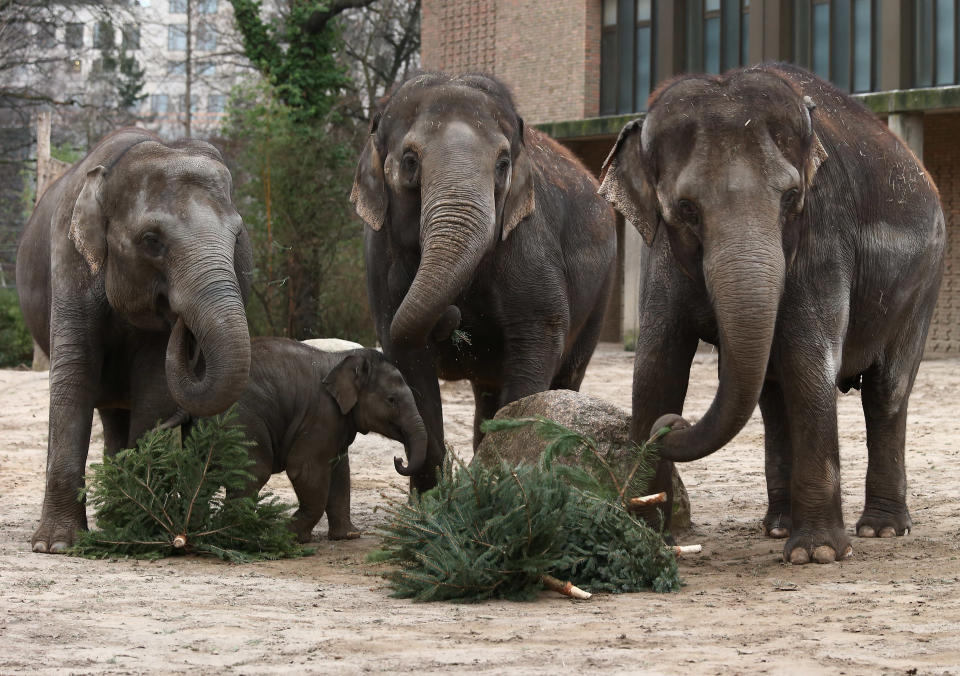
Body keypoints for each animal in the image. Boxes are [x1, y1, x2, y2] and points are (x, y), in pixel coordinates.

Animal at [18, 128, 253, 556]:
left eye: (238, 236)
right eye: (151, 240)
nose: (182, 324)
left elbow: (154, 383)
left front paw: (138, 526)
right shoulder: (69, 261)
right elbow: (74, 375)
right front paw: (55, 545)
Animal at [225, 338, 424, 544]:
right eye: (391, 400)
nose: (398, 459)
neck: (341, 359)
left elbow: (340, 471)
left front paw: (348, 535)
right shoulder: (322, 415)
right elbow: (306, 471)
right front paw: (289, 535)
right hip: (243, 418)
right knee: (254, 471)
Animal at [350, 72, 616, 492]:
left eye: (503, 164)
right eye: (410, 162)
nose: (454, 316)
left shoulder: (528, 241)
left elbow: (538, 342)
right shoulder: (379, 258)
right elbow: (405, 353)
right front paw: (431, 501)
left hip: (602, 291)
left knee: (567, 376)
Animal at [600, 63, 944, 564]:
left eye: (791, 197)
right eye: (686, 209)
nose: (671, 426)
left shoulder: (822, 233)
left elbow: (807, 359)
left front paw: (817, 555)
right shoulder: (660, 253)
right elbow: (655, 366)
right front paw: (645, 538)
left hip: (923, 284)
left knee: (887, 391)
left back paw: (880, 529)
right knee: (772, 396)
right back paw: (779, 526)